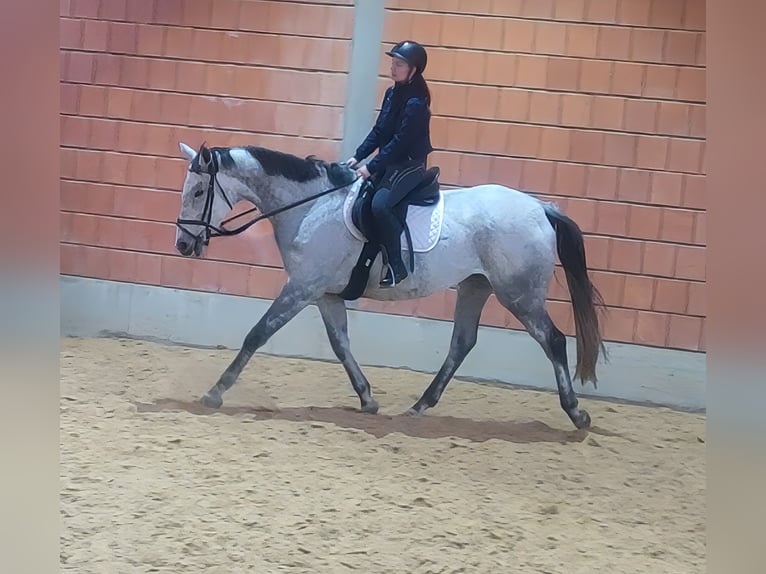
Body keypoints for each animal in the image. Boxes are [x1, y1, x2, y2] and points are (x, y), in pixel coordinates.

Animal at [173, 141, 607, 430]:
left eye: (198, 191)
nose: (182, 245)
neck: (311, 206)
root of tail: (541, 208)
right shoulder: (325, 294)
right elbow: (340, 345)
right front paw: (367, 397)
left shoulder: (302, 287)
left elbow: (258, 333)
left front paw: (215, 392)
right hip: (475, 287)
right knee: (462, 343)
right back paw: (420, 406)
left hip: (519, 294)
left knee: (553, 341)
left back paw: (577, 413)